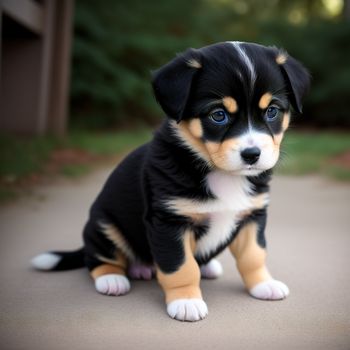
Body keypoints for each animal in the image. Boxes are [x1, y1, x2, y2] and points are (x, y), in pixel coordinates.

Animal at [32, 41, 308, 322]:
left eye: (272, 111)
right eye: (218, 115)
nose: (252, 154)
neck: (220, 173)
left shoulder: (252, 216)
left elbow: (254, 256)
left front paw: (264, 284)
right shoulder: (169, 222)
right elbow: (181, 267)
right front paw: (186, 301)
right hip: (103, 225)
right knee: (97, 259)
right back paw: (112, 279)